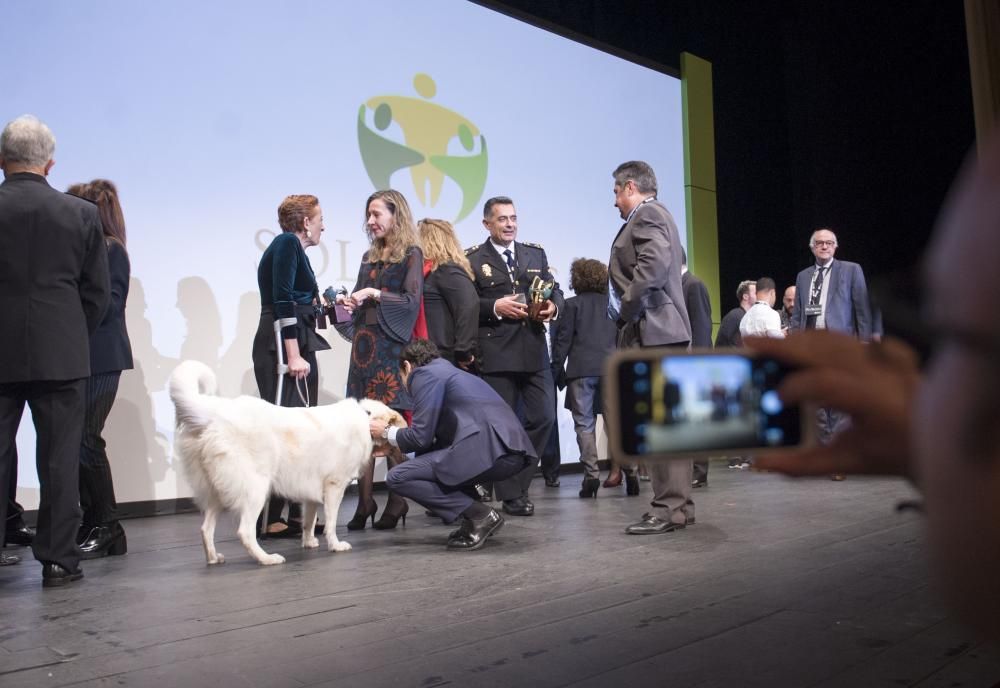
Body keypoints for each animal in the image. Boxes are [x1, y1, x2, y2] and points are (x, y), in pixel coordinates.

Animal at [170, 360, 404, 564]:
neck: (366, 418)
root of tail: (217, 412)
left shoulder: (312, 492)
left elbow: (309, 521)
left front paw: (309, 542)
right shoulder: (334, 486)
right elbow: (331, 521)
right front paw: (335, 545)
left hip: (217, 491)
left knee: (205, 529)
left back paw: (213, 558)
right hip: (255, 490)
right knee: (245, 532)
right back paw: (267, 559)